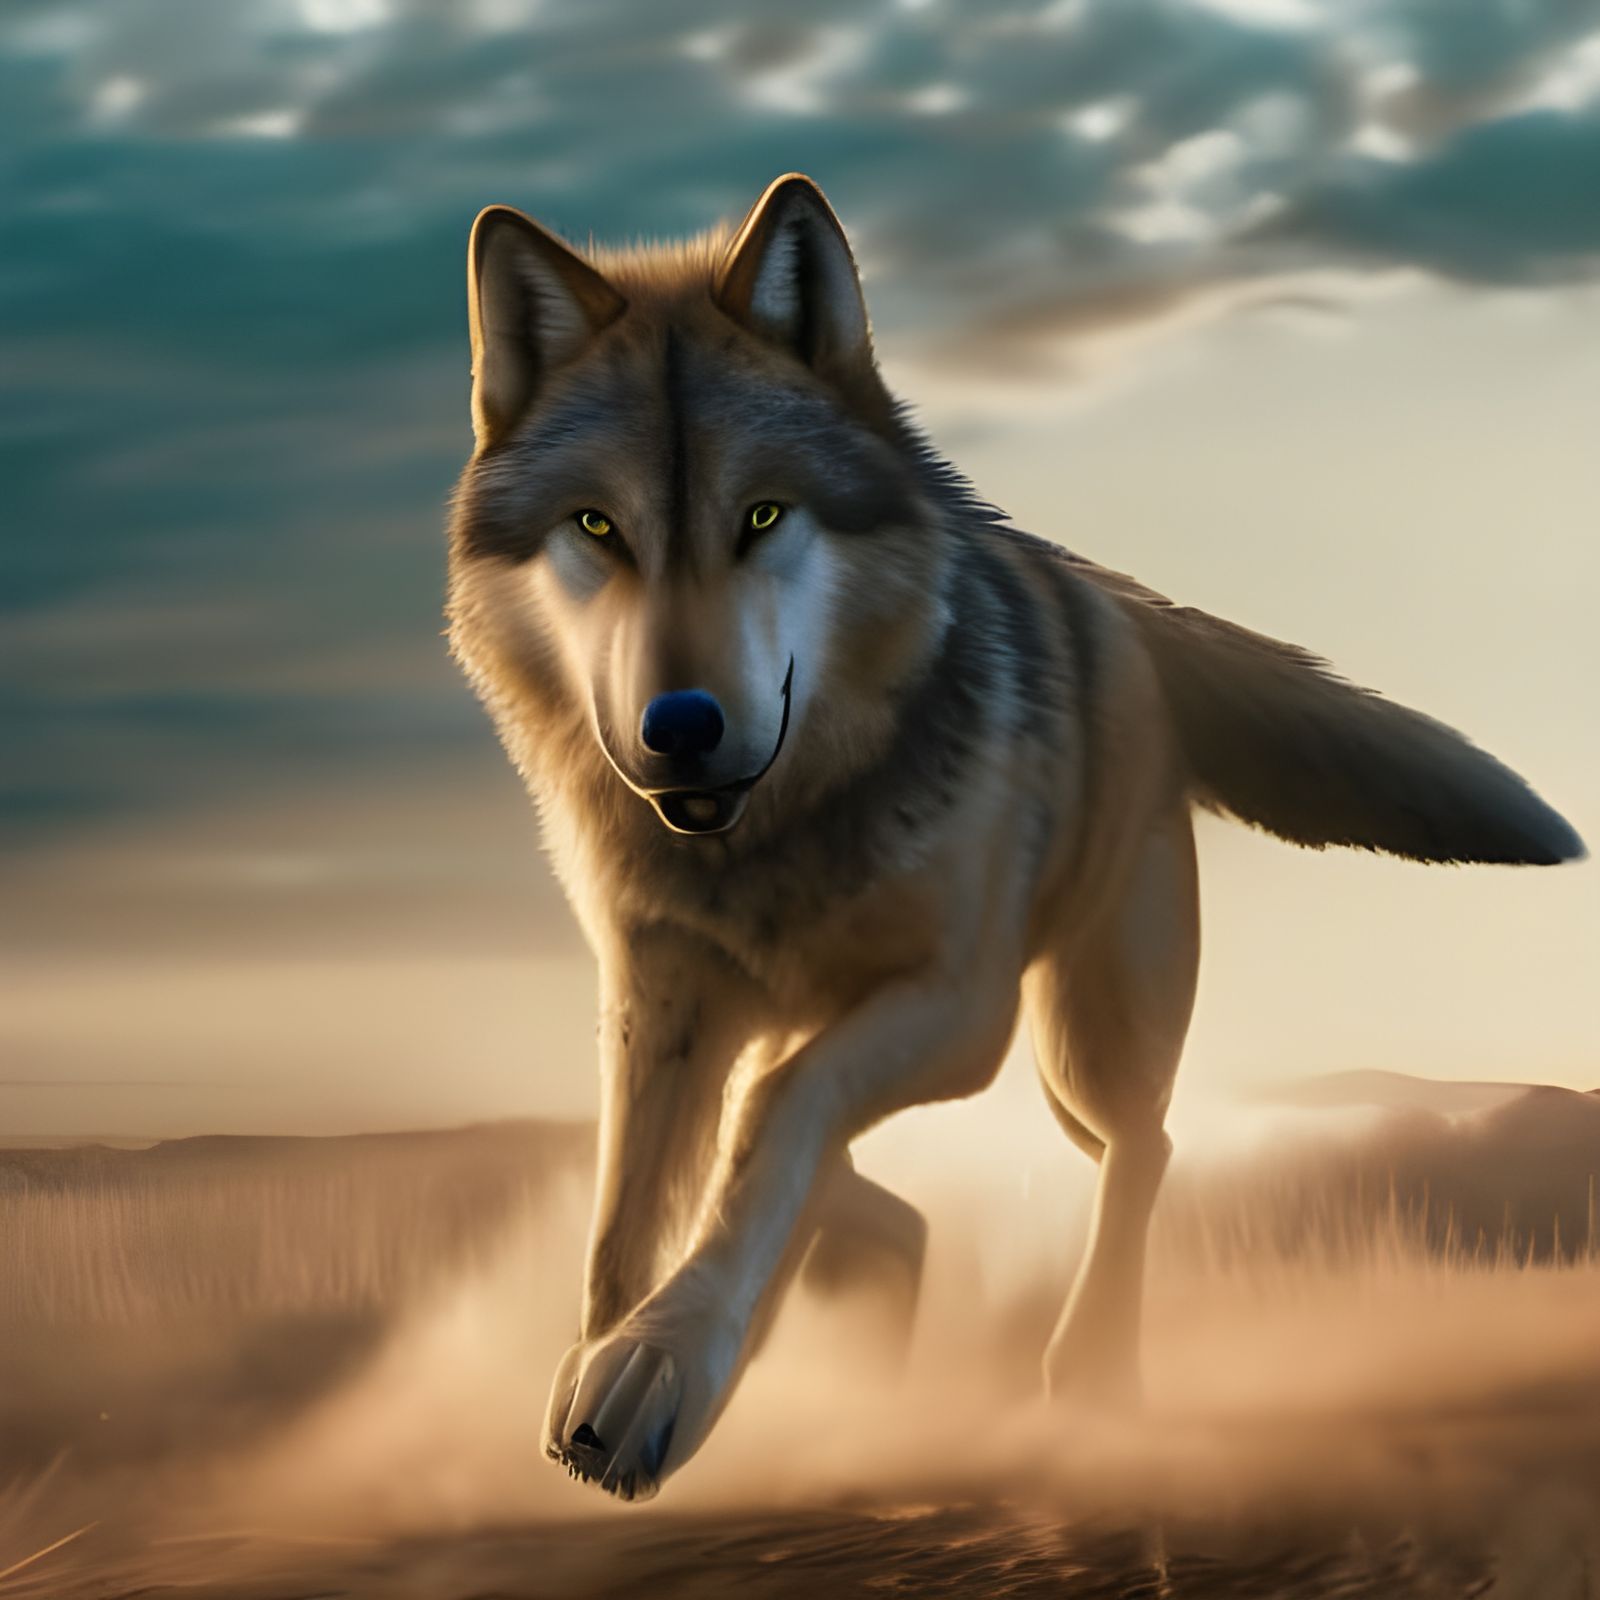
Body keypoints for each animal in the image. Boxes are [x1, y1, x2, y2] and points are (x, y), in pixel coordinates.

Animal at [446, 173, 1584, 1501]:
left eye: (763, 515)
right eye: (597, 528)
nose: (679, 727)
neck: (778, 839)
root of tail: (1106, 595)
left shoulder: (960, 1002)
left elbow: (777, 1111)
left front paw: (663, 1363)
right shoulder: (659, 1006)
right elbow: (633, 1211)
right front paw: (628, 1352)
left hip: (1081, 1039)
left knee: (1141, 1146)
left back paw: (1088, 1367)